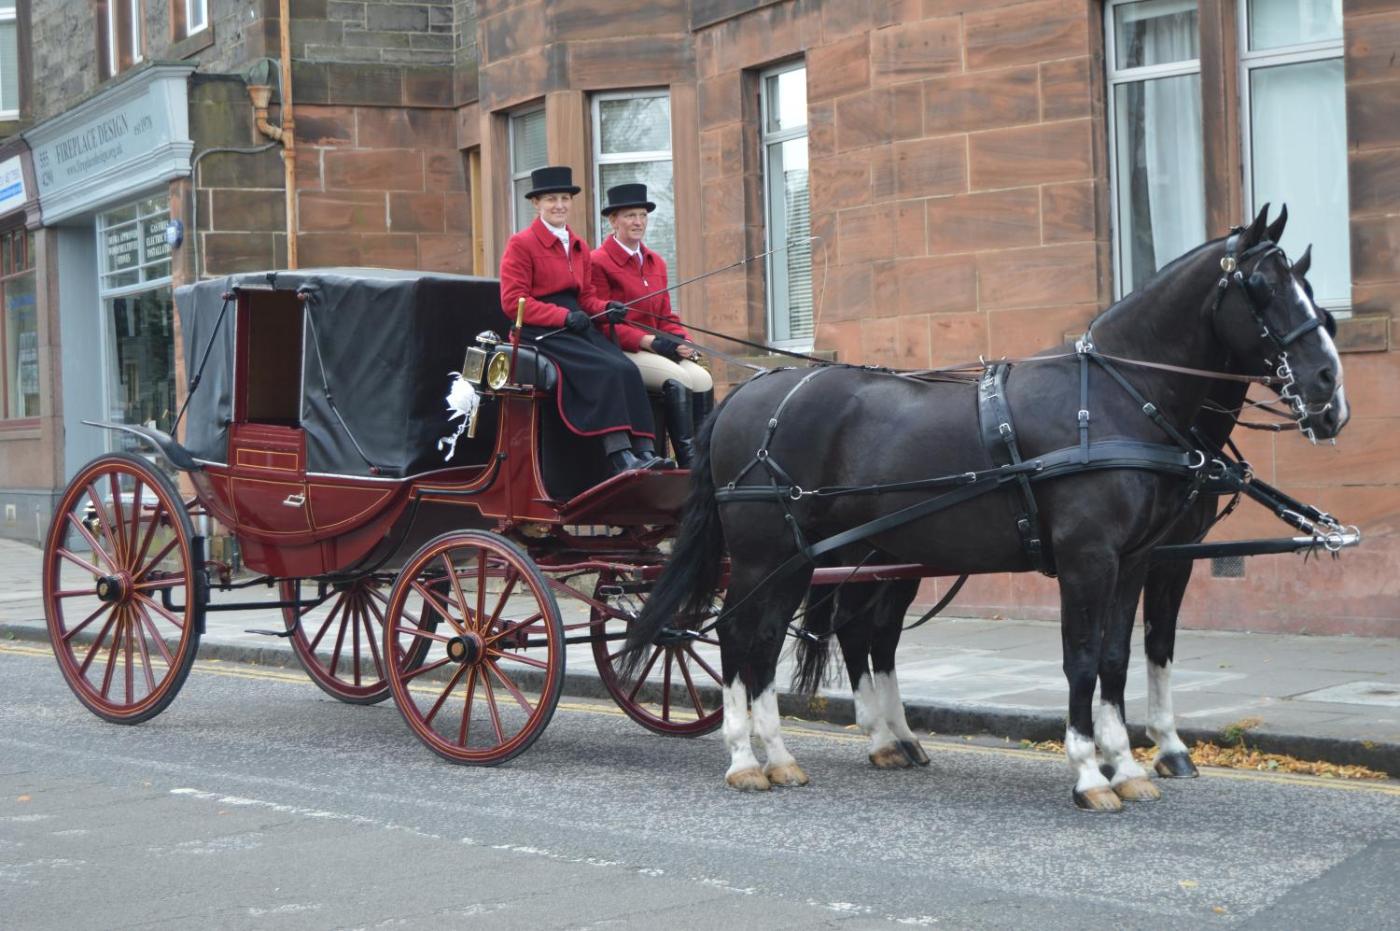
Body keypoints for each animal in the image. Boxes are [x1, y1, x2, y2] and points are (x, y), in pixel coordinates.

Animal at [625, 206, 1348, 811]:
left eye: (1311, 289)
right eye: (1262, 287)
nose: (1328, 390)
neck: (1116, 397)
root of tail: (743, 396)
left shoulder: (1137, 558)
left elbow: (1119, 657)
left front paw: (1127, 764)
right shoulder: (1090, 558)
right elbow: (1083, 658)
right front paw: (1090, 771)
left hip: (820, 554)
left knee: (795, 638)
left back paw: (799, 753)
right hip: (762, 551)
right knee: (740, 637)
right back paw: (747, 756)